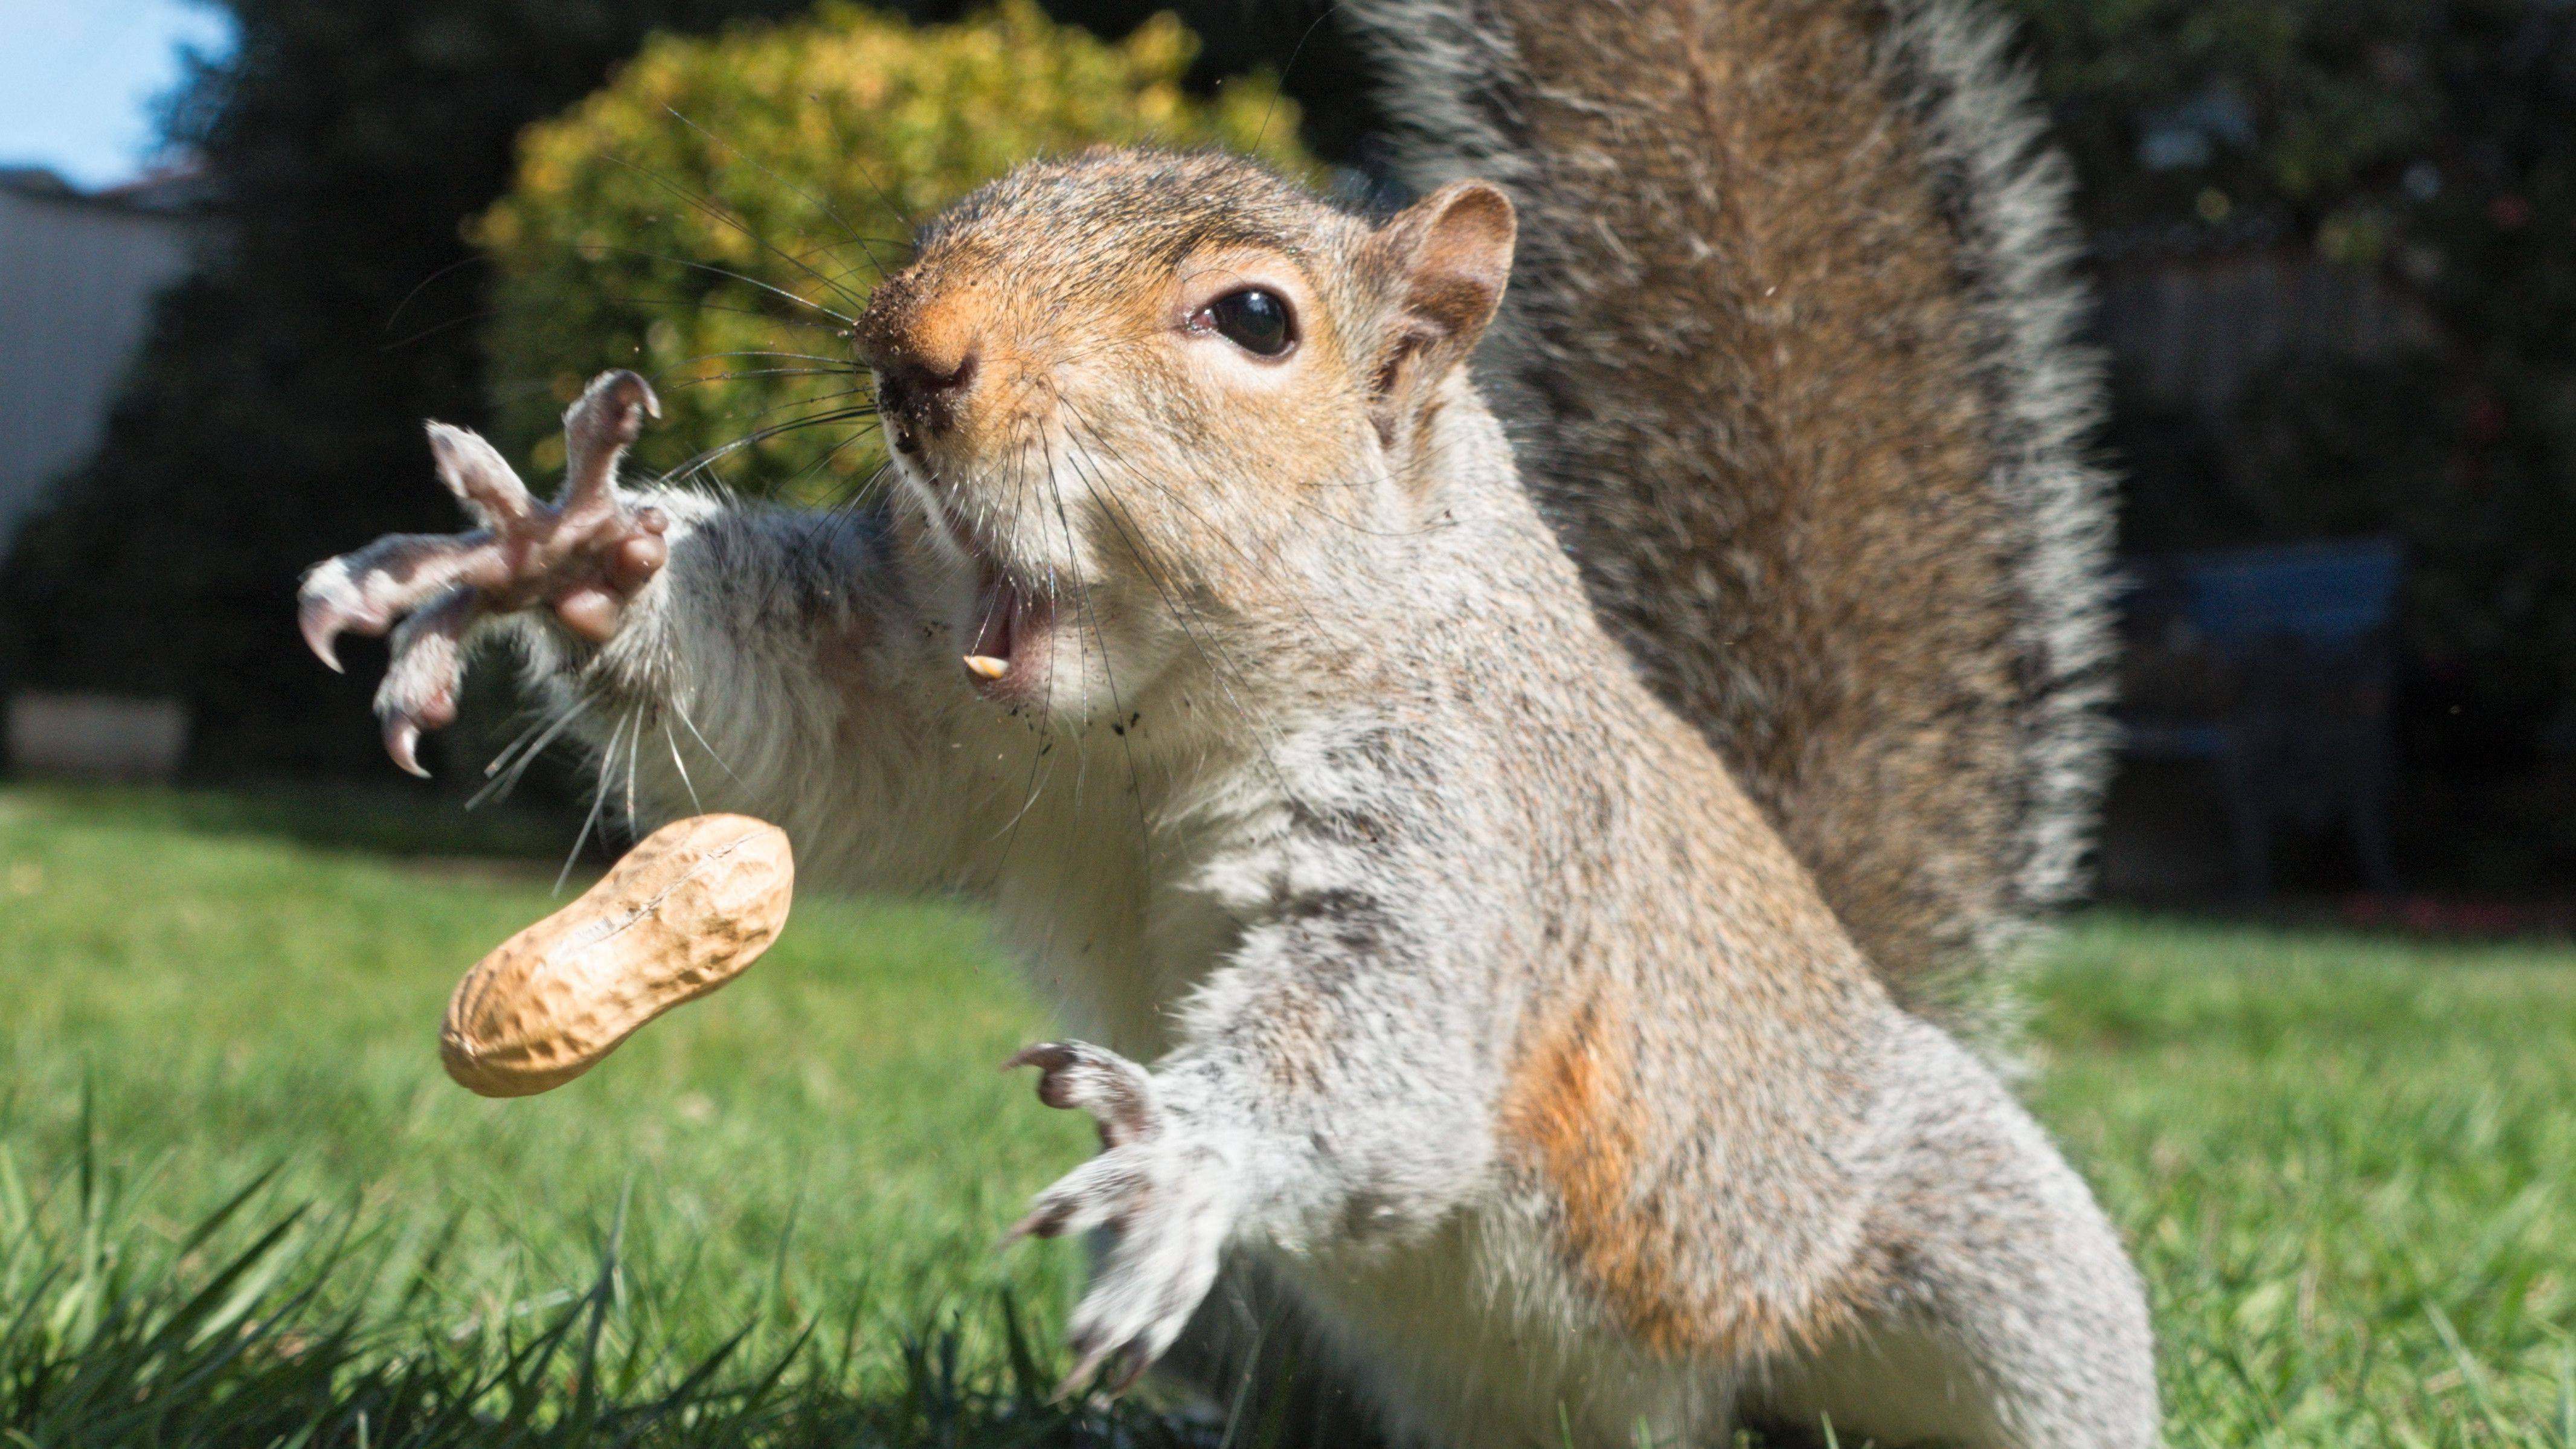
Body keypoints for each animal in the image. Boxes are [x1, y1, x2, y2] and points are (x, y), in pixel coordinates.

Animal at [292, 5, 2163, 1433]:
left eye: (1254, 319)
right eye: (966, 205)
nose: (910, 352)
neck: (1151, 718)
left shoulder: (1473, 821)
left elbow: (1388, 1043)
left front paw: (1191, 1146)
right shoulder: (914, 702)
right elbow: (789, 735)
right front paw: (557, 553)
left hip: (1958, 1261)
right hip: (1302, 1333)